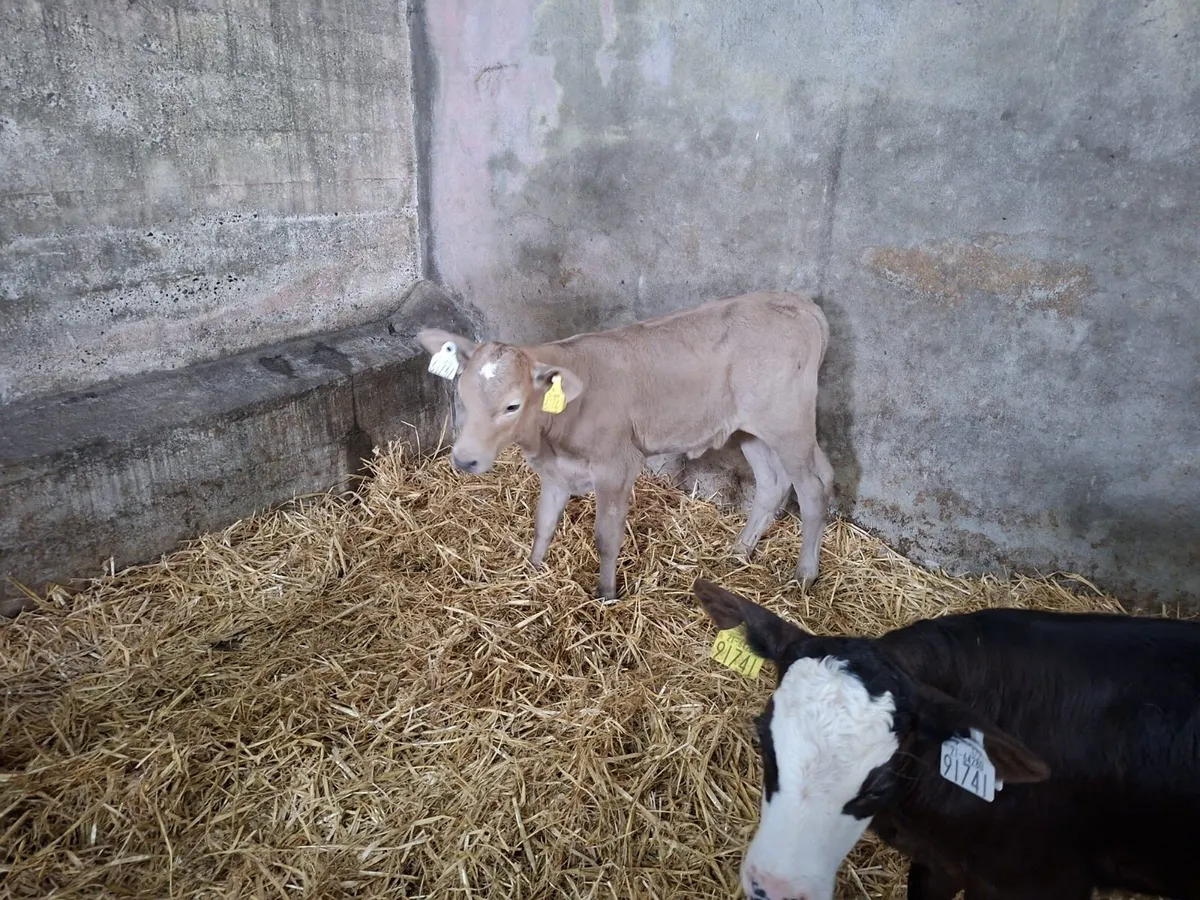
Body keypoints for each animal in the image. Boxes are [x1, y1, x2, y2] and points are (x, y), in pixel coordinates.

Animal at [417, 291, 834, 601]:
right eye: (462, 393)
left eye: (512, 406)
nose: (464, 460)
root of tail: (797, 302)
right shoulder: (556, 471)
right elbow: (544, 524)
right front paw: (532, 572)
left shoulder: (615, 466)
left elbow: (606, 536)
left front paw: (606, 594)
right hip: (750, 429)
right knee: (775, 483)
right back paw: (739, 551)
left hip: (787, 422)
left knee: (812, 488)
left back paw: (804, 575)